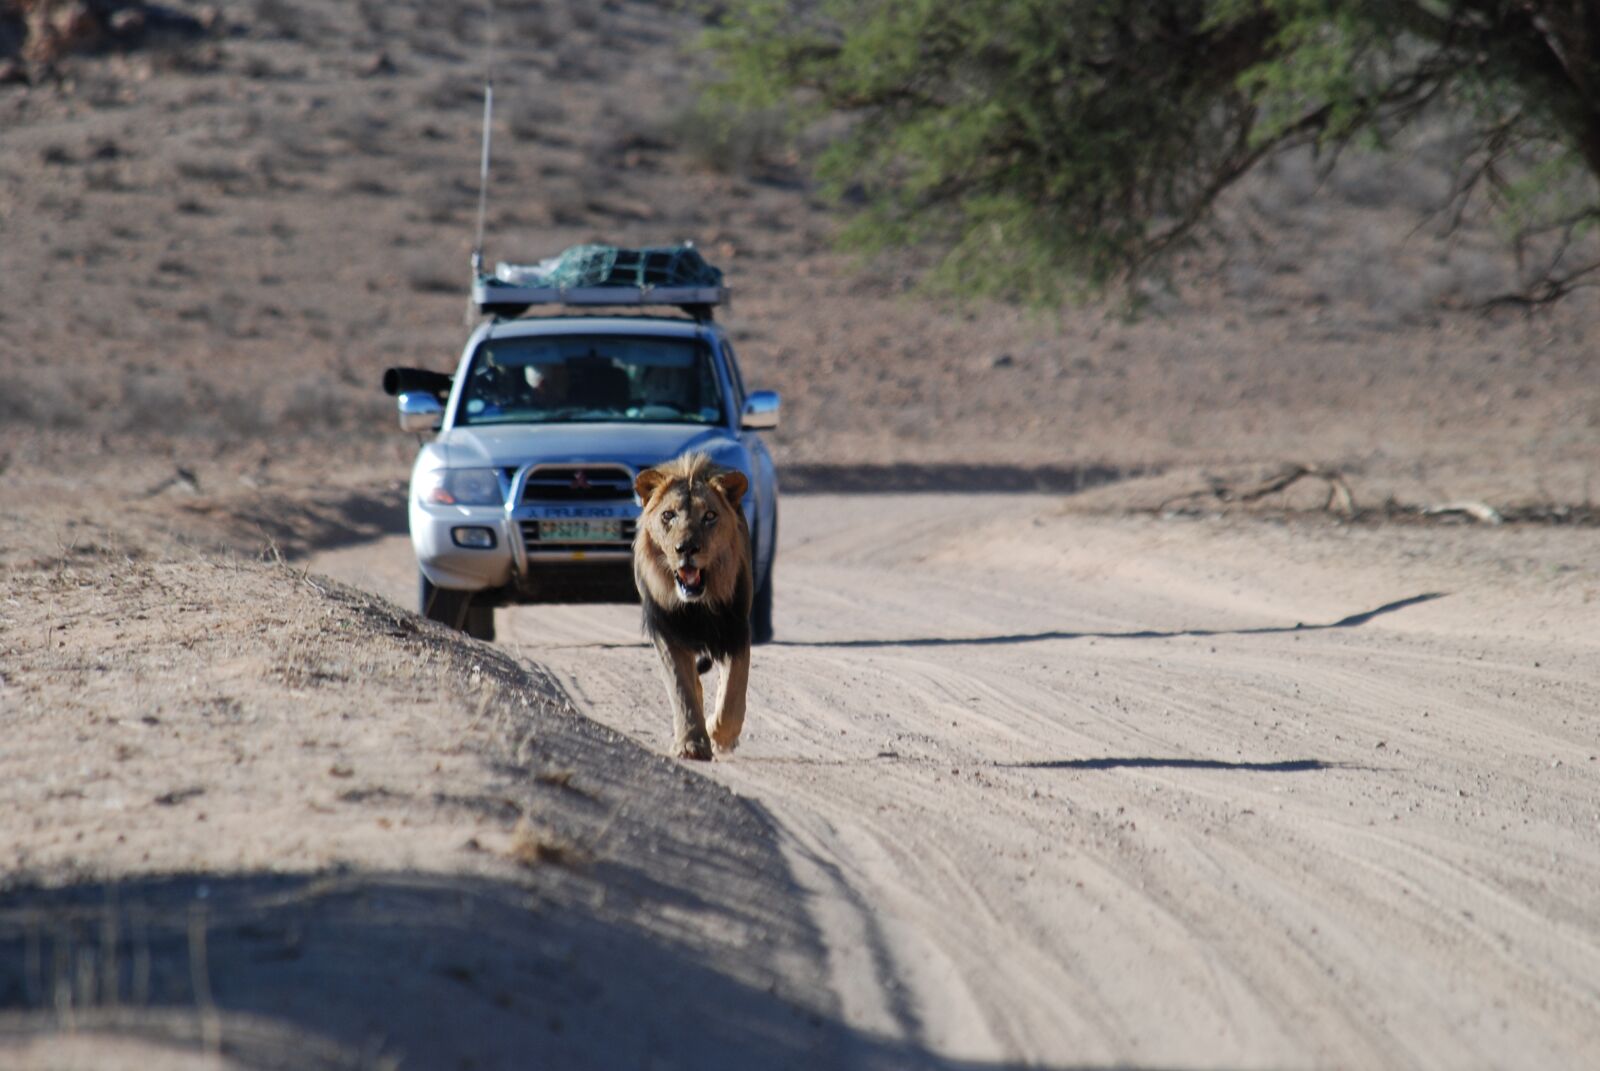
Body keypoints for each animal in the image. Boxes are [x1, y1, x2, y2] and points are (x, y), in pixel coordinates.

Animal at [633, 452, 753, 760]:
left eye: (709, 516)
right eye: (668, 516)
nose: (686, 548)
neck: (697, 606)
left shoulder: (735, 630)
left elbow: (733, 694)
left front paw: (718, 735)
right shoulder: (667, 632)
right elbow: (682, 689)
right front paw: (691, 743)